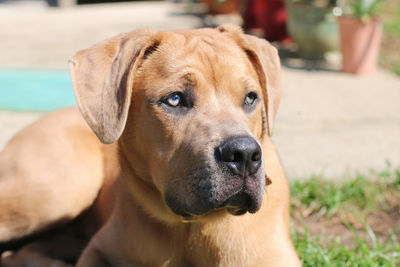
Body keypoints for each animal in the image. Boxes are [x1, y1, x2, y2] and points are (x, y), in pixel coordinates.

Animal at [0, 24, 300, 266]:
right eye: (175, 99)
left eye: (251, 98)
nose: (244, 154)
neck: (190, 228)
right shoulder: (99, 249)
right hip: (58, 189)